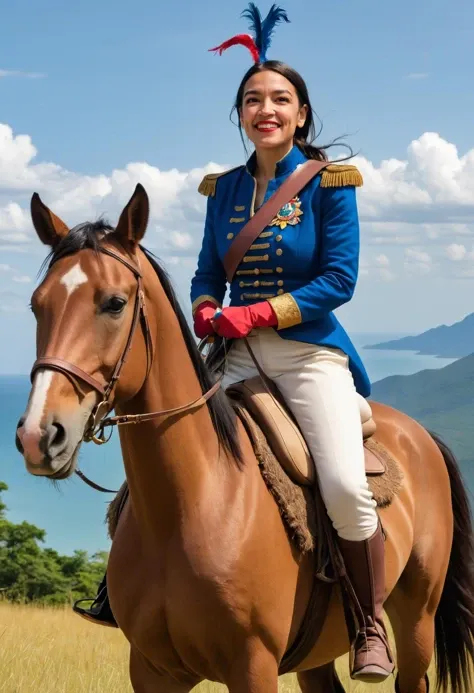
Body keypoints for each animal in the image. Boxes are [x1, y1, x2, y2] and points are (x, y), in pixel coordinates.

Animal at [14, 185, 474, 692]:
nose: (39, 434)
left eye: (114, 303)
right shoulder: (152, 670)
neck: (192, 504)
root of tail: (421, 435)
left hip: (417, 620)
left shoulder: (252, 667)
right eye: (37, 305)